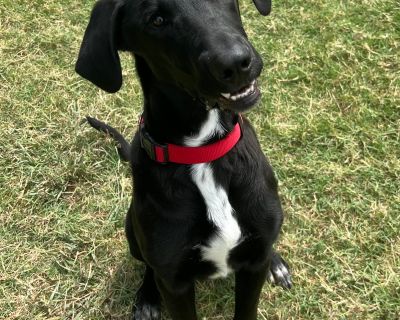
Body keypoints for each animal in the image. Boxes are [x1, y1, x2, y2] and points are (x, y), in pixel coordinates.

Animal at [76, 0, 292, 318]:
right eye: (156, 20)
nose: (235, 64)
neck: (202, 151)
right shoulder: (174, 282)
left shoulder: (253, 267)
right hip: (132, 232)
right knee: (148, 268)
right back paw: (147, 298)